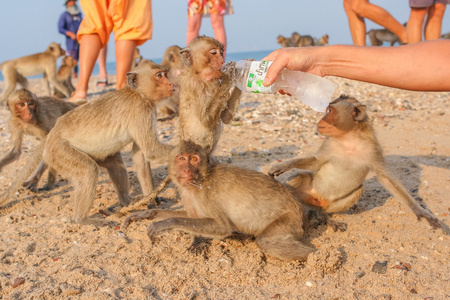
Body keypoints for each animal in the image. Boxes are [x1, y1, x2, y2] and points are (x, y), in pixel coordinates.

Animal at [123, 142, 312, 262]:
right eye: (182, 158)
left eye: (194, 159)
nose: (187, 170)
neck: (200, 179)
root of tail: (297, 207)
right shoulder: (188, 194)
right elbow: (191, 216)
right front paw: (146, 213)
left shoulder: (206, 195)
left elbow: (222, 227)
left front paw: (165, 223)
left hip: (290, 219)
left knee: (266, 242)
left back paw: (315, 256)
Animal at [268, 95, 442, 231]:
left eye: (329, 111)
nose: (319, 121)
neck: (349, 138)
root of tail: (317, 200)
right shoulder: (329, 144)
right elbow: (316, 163)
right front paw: (283, 165)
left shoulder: (373, 149)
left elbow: (385, 178)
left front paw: (419, 210)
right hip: (308, 193)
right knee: (300, 176)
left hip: (329, 203)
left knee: (357, 190)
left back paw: (323, 216)